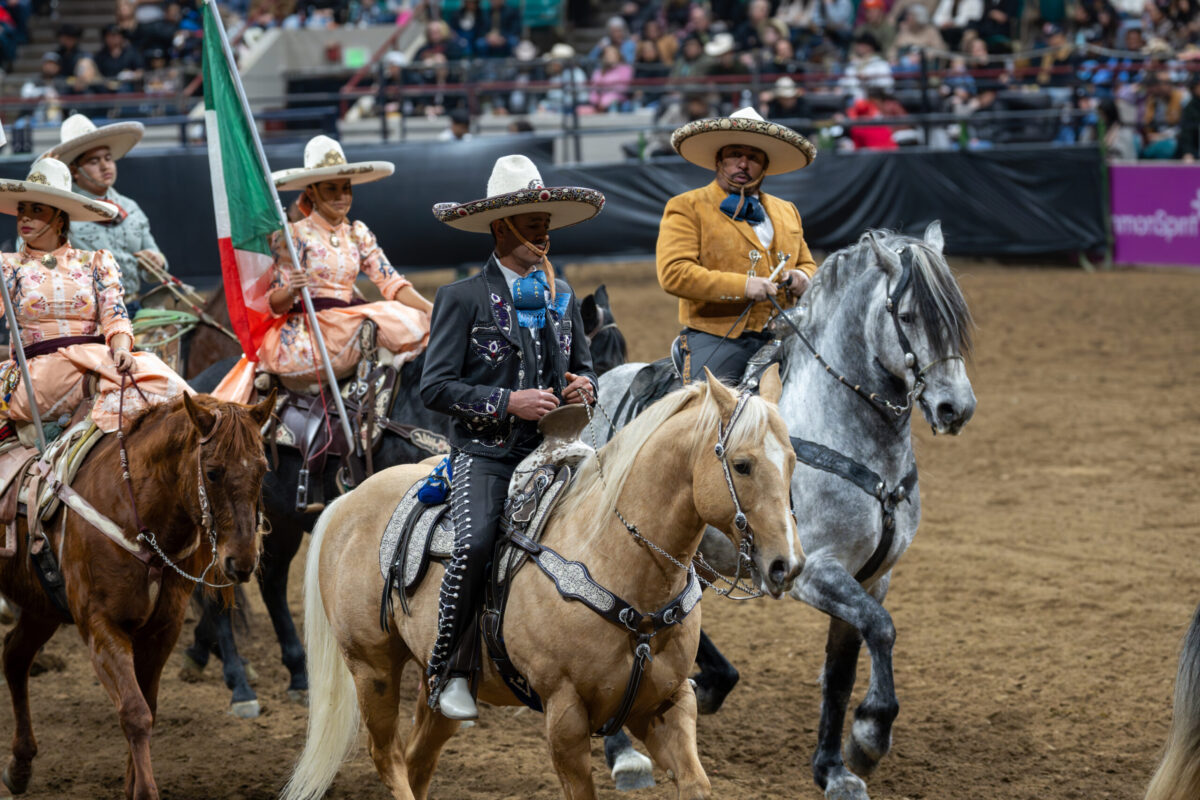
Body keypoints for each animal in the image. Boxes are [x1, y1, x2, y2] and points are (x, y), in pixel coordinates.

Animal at [0, 393, 273, 800]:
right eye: (212, 472)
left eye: (263, 469)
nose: (241, 561)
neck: (139, 518)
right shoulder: (102, 627)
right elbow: (134, 711)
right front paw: (144, 790)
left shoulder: (162, 632)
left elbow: (149, 706)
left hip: (41, 608)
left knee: (15, 657)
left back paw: (20, 765)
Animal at [284, 371, 801, 800]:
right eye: (743, 464)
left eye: (794, 461)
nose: (787, 565)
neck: (616, 559)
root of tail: (348, 499)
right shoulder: (565, 718)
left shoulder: (666, 704)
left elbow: (696, 784)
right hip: (371, 666)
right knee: (388, 758)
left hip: (438, 687)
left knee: (418, 760)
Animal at [592, 225, 974, 800]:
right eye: (906, 316)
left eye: (957, 317)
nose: (957, 407)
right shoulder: (813, 572)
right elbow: (882, 629)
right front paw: (870, 734)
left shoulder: (872, 576)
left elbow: (842, 669)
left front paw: (833, 767)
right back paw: (625, 756)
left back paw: (708, 684)